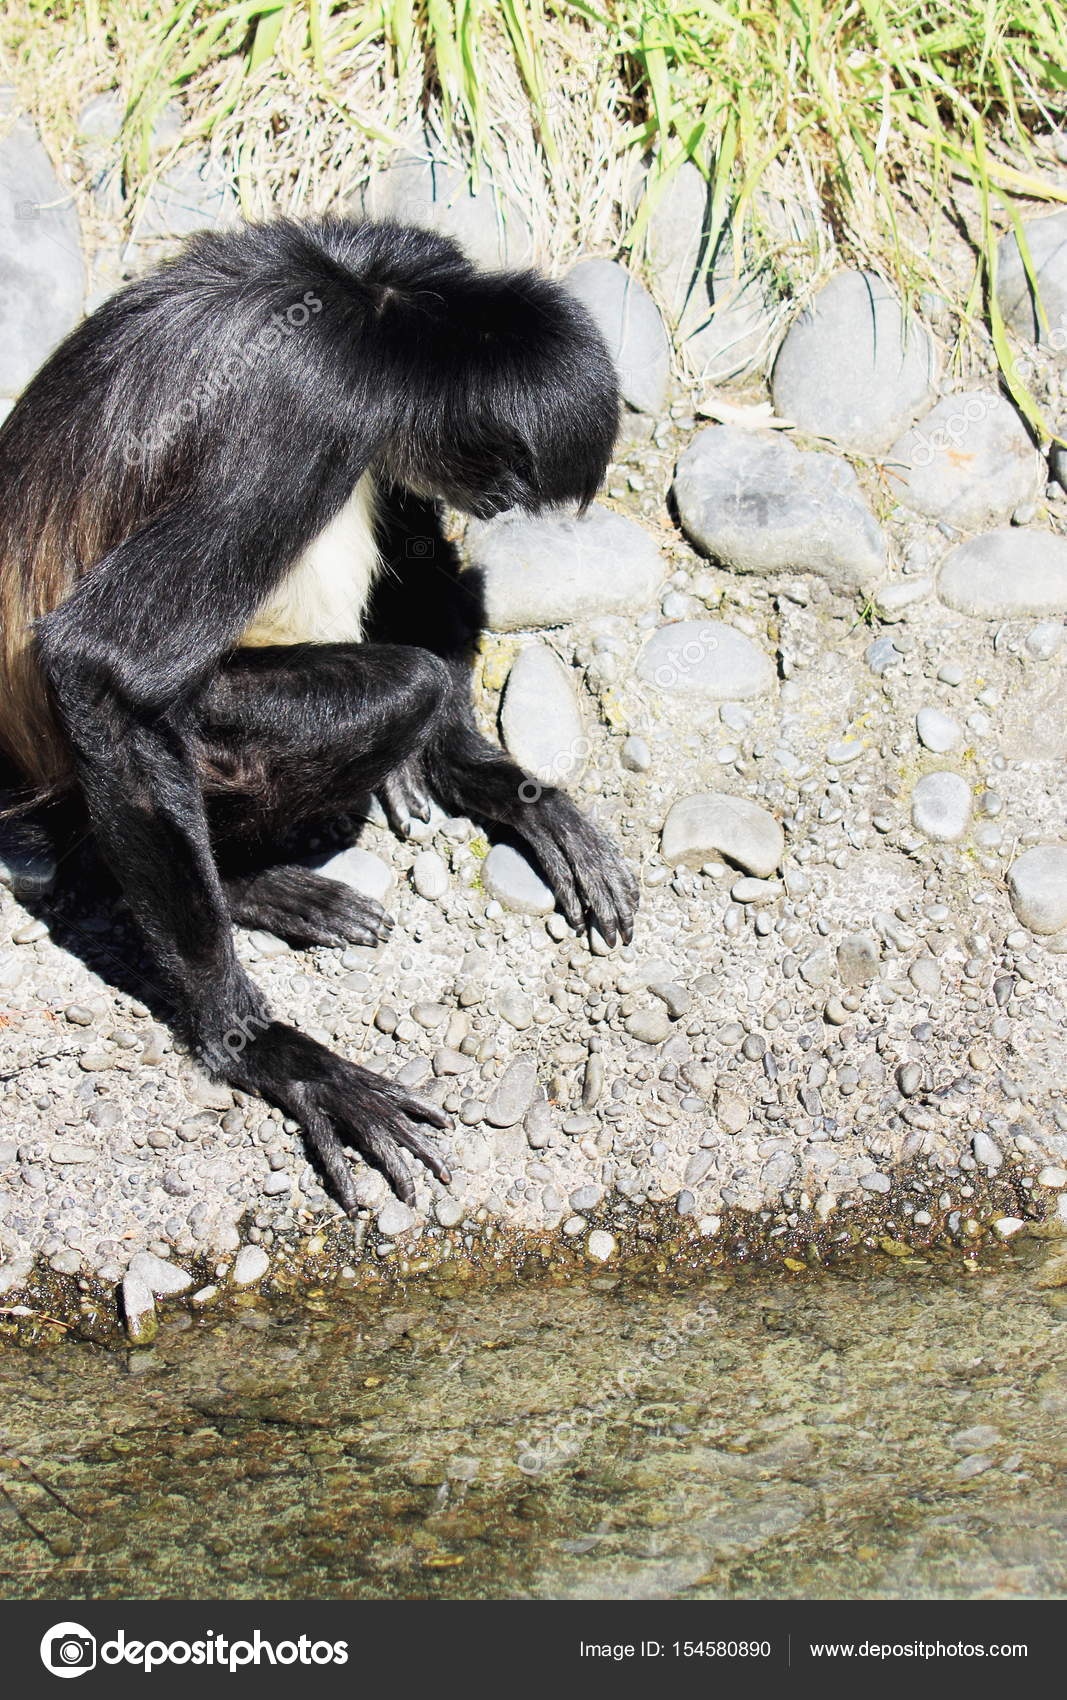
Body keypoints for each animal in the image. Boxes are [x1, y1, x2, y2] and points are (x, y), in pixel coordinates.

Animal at [0, 217, 639, 1214]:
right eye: (503, 473)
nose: (498, 502)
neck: (374, 297)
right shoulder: (319, 391)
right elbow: (100, 668)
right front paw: (267, 1053)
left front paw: (500, 787)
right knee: (399, 684)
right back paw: (248, 882)